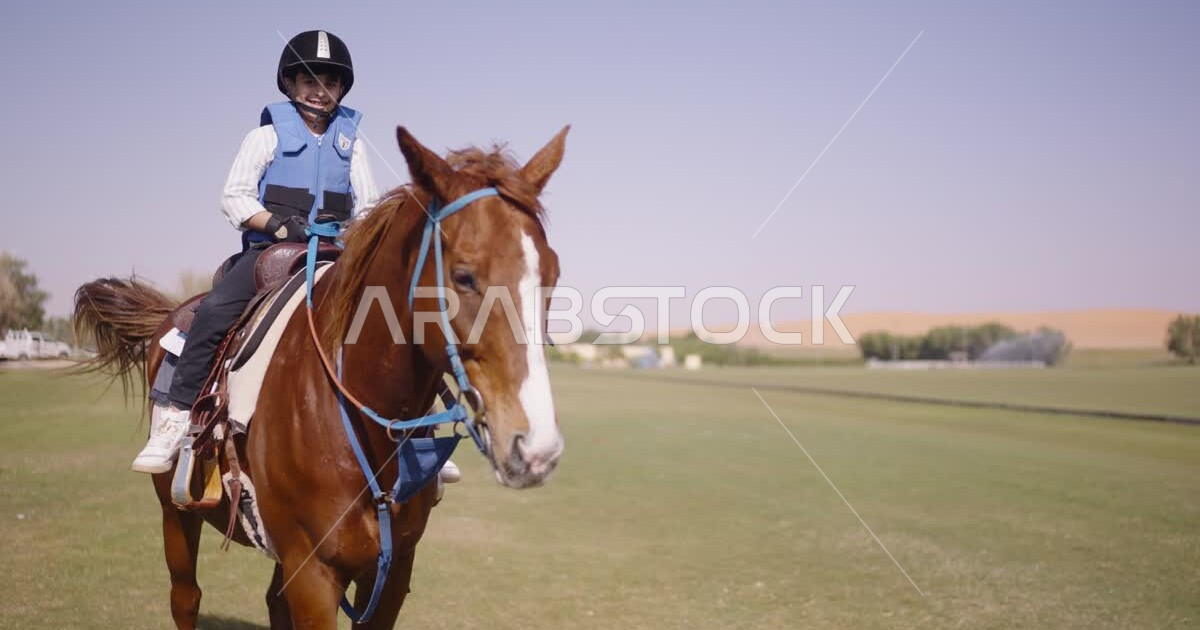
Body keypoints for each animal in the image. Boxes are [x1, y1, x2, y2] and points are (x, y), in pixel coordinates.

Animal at [73, 125, 568, 629]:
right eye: (464, 276)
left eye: (551, 273)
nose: (536, 447)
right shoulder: (314, 572)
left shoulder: (391, 573)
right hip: (176, 513)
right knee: (186, 597)